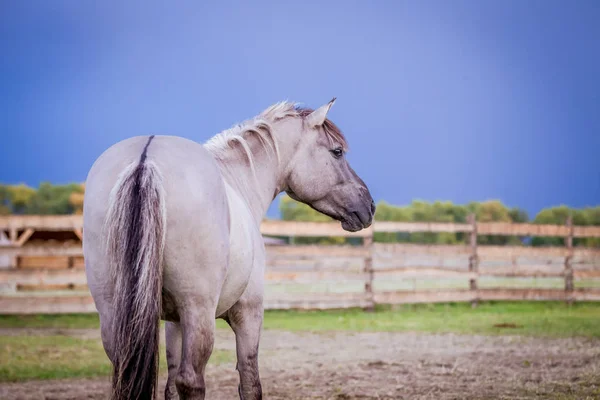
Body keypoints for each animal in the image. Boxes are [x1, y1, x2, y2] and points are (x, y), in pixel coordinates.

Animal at [83, 97, 376, 400]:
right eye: (337, 152)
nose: (369, 206)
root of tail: (145, 159)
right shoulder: (248, 312)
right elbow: (250, 382)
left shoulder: (174, 321)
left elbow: (170, 385)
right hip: (198, 311)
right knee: (192, 380)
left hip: (114, 311)